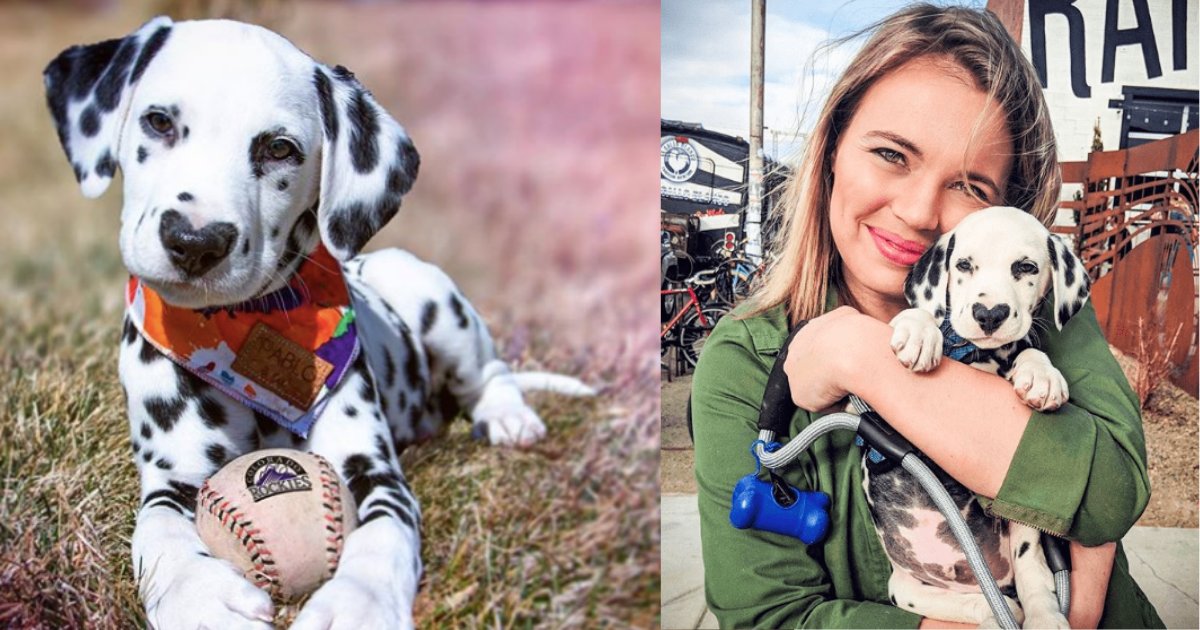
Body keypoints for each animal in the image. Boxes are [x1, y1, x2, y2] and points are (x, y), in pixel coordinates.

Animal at [868, 205, 1094, 624]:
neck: (975, 354)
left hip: (1022, 536)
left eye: (1026, 267)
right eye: (963, 265)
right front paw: (919, 330)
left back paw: (1042, 616)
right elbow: (922, 315)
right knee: (977, 604)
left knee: (1032, 577)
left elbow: (1028, 349)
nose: (989, 314)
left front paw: (1041, 374)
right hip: (905, 588)